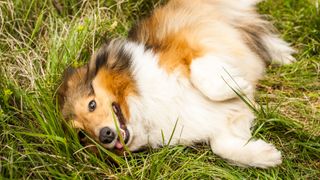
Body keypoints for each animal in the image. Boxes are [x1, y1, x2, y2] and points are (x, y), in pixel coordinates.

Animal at [57, 0, 296, 169]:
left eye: (92, 104)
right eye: (82, 135)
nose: (104, 135)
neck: (141, 103)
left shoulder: (189, 44)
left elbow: (201, 72)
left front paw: (236, 84)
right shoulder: (226, 121)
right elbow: (220, 146)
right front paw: (265, 156)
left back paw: (280, 53)